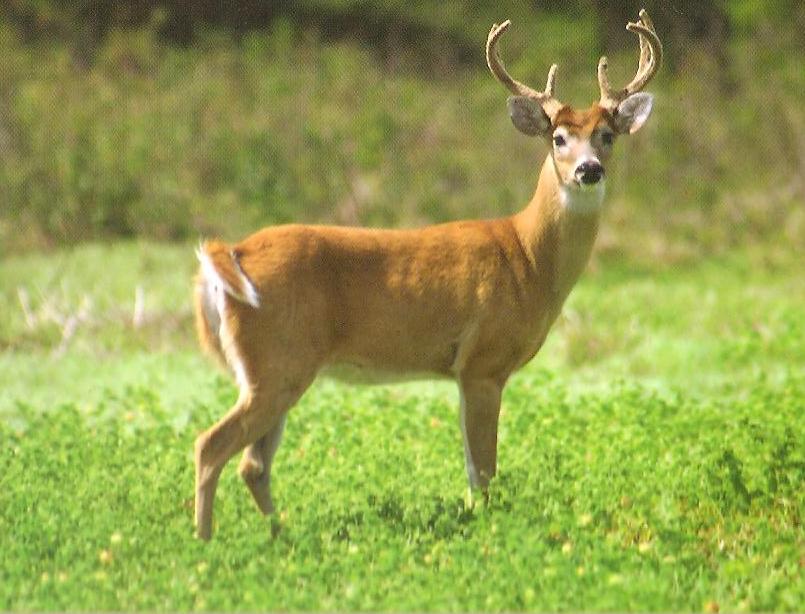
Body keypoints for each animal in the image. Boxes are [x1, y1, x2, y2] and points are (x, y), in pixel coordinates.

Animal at [193, 8, 660, 540]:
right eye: (558, 138)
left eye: (607, 135)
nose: (588, 170)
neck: (527, 257)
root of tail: (230, 253)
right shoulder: (483, 362)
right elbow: (484, 470)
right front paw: (486, 527)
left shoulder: (463, 371)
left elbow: (474, 467)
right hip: (277, 361)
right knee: (211, 446)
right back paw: (205, 542)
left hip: (274, 369)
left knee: (253, 465)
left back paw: (280, 535)